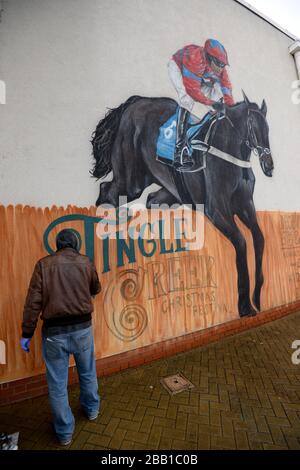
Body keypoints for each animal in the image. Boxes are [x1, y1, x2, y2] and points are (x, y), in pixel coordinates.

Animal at [91, 93, 274, 318]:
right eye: (252, 127)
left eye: (267, 129)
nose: (269, 166)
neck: (229, 155)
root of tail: (135, 102)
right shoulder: (216, 210)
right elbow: (241, 242)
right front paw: (245, 306)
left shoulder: (245, 205)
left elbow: (259, 238)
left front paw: (257, 297)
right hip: (130, 181)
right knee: (106, 191)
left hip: (167, 190)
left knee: (151, 200)